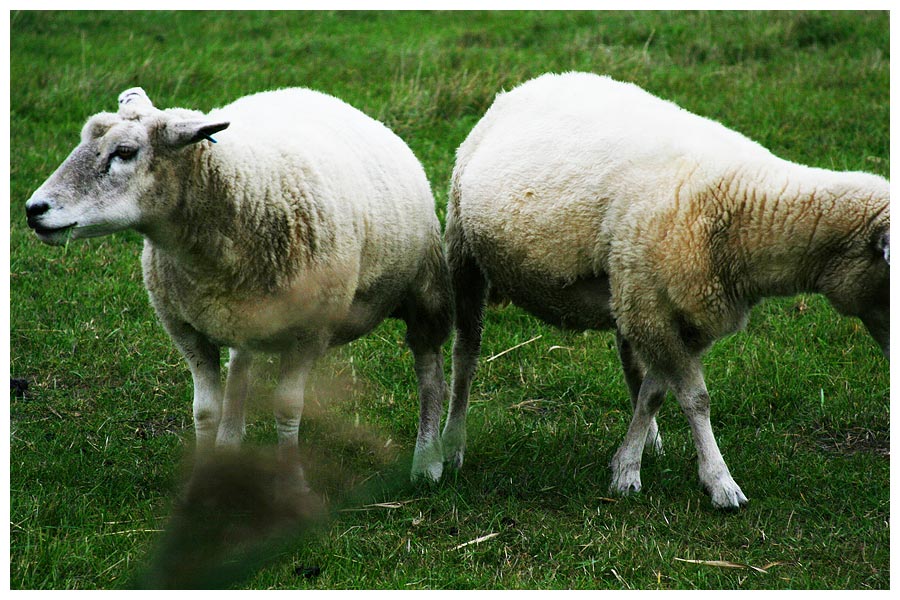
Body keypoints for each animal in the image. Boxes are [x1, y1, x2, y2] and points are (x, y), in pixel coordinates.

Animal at [24, 86, 454, 482]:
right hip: (241, 316)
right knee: (241, 368)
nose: (33, 210)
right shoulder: (186, 330)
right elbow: (204, 412)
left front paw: (293, 483)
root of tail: (311, 91)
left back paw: (428, 461)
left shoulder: (309, 332)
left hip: (425, 290)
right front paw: (203, 477)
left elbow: (287, 409)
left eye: (125, 152)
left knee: (429, 369)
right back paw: (230, 442)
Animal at [442, 72, 884, 508]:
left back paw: (651, 438)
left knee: (630, 360)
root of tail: (528, 84)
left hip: (623, 284)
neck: (740, 208)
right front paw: (718, 482)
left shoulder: (682, 316)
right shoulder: (653, 310)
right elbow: (695, 398)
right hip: (465, 251)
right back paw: (452, 444)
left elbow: (655, 392)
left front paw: (627, 462)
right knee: (466, 354)